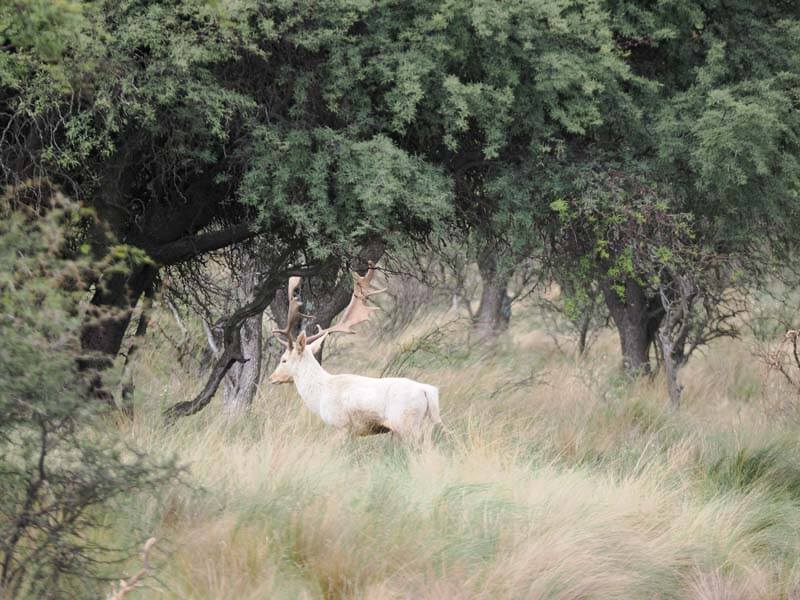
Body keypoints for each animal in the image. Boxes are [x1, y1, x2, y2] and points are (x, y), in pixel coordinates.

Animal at [268, 263, 442, 439]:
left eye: (284, 359)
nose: (271, 378)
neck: (320, 396)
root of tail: (427, 391)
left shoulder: (341, 426)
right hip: (422, 425)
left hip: (407, 424)